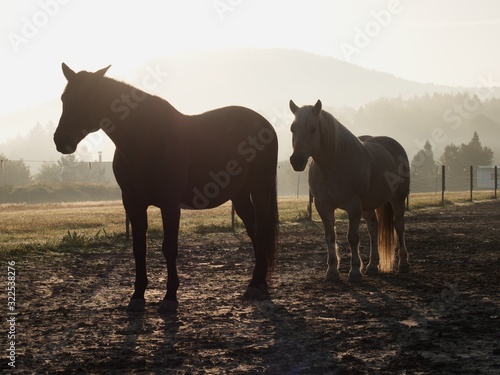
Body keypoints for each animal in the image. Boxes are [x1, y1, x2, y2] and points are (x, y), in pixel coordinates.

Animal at [57, 64, 282, 314]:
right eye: (64, 98)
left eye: (88, 98)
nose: (61, 139)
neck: (145, 140)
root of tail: (264, 124)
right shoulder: (133, 203)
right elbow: (139, 248)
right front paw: (137, 296)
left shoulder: (170, 204)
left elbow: (169, 248)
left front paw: (170, 297)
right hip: (240, 195)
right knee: (254, 230)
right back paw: (257, 283)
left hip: (260, 187)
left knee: (261, 229)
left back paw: (256, 285)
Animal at [290, 101, 410, 284]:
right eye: (292, 128)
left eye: (313, 129)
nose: (296, 160)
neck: (333, 165)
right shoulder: (323, 207)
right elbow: (330, 236)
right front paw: (332, 271)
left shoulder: (353, 207)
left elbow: (352, 237)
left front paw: (354, 271)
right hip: (368, 206)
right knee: (373, 227)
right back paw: (372, 266)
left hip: (397, 199)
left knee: (399, 226)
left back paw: (403, 264)